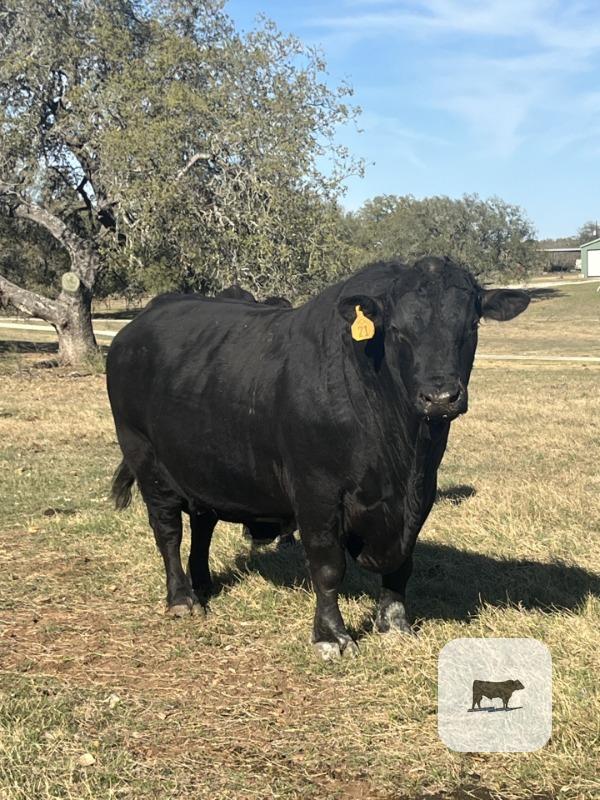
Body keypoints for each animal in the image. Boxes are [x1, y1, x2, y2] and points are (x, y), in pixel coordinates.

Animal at [106, 256, 529, 660]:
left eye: (471, 325)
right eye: (397, 330)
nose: (440, 397)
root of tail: (137, 326)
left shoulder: (422, 492)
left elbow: (402, 564)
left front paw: (395, 623)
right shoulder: (316, 491)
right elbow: (328, 567)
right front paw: (331, 636)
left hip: (203, 466)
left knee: (202, 524)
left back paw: (204, 583)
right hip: (146, 458)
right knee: (168, 530)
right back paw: (182, 597)